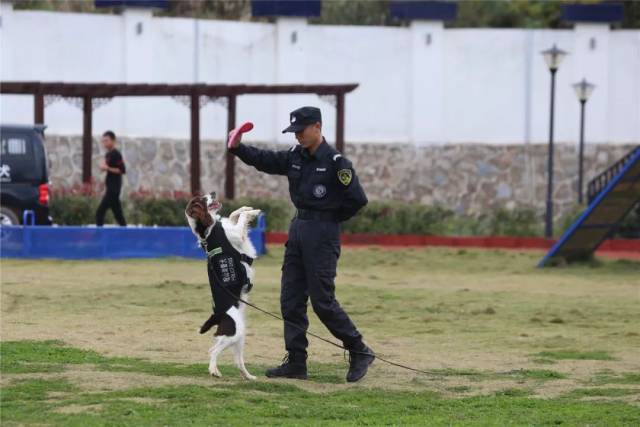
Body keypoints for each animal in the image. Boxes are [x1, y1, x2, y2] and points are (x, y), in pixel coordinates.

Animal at [185, 193, 262, 382]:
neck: (208, 230)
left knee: (237, 360)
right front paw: (252, 212)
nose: (213, 193)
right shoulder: (237, 235)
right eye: (202, 199)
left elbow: (235, 214)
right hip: (233, 333)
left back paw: (248, 376)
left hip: (238, 336)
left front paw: (248, 208)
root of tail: (218, 314)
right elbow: (240, 219)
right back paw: (214, 370)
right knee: (213, 351)